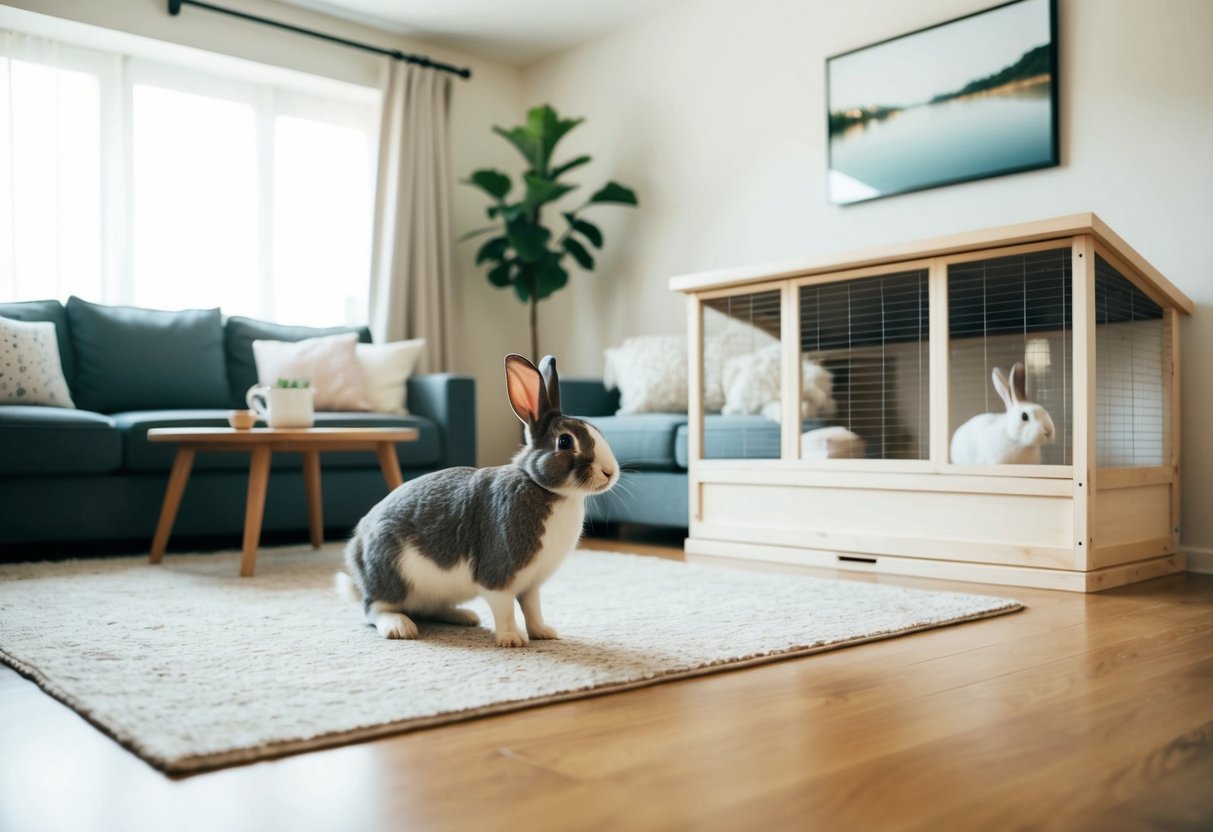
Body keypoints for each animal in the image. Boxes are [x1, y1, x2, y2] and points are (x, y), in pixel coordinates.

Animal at [335, 354, 619, 647]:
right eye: (564, 441)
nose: (610, 472)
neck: (540, 485)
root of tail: (356, 552)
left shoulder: (531, 585)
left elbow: (532, 609)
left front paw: (544, 633)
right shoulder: (497, 577)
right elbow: (505, 609)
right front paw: (511, 639)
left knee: (429, 609)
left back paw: (464, 616)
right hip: (391, 574)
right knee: (374, 609)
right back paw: (400, 627)